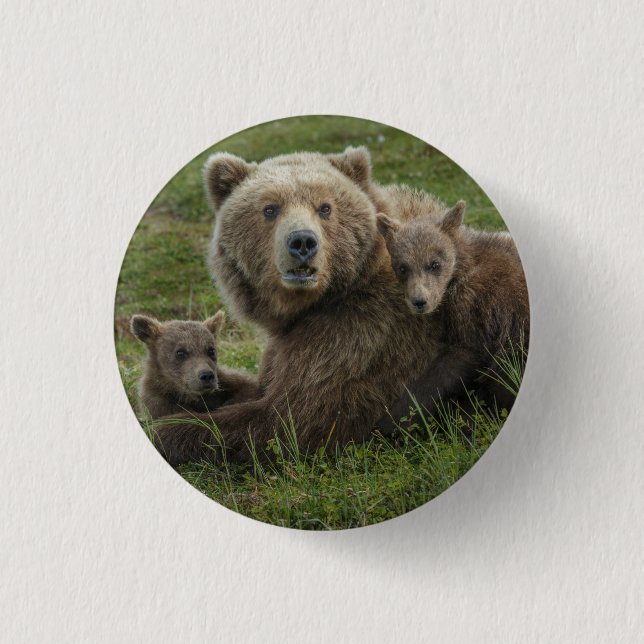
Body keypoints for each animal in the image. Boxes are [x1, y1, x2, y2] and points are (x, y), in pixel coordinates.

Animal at [150, 146, 449, 466]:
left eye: (325, 207)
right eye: (270, 208)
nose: (302, 242)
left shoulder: (359, 339)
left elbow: (289, 421)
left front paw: (167, 429)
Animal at [375, 197, 529, 421]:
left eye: (434, 264)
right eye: (402, 268)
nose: (419, 301)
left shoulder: (481, 311)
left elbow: (454, 364)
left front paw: (392, 418)